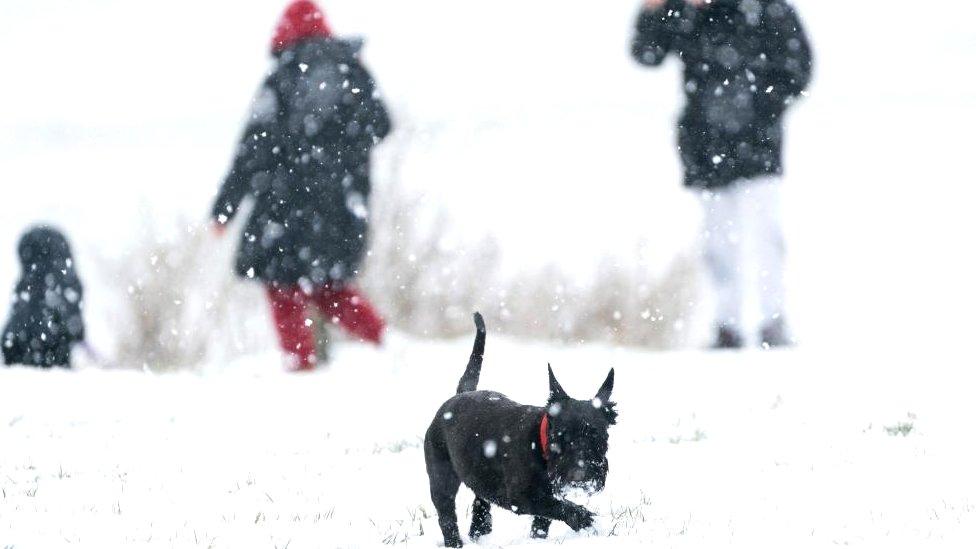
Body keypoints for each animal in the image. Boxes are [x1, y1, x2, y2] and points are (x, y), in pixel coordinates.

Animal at [422, 310, 616, 544]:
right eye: (560, 436)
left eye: (598, 436)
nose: (580, 475)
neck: (539, 444)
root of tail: (459, 394)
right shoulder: (520, 497)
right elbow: (557, 506)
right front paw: (586, 519)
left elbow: (544, 519)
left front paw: (538, 539)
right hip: (441, 476)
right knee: (446, 514)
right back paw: (455, 543)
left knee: (480, 503)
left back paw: (480, 533)